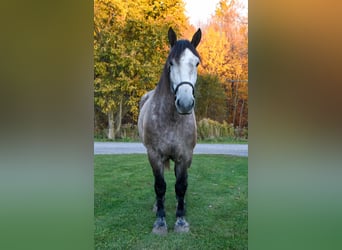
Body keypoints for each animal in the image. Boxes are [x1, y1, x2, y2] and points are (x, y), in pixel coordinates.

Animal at [137, 27, 200, 234]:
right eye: (171, 63)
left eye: (196, 63)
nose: (185, 103)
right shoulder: (154, 155)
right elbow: (160, 186)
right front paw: (160, 221)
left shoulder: (185, 155)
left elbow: (181, 185)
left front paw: (180, 220)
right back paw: (158, 205)